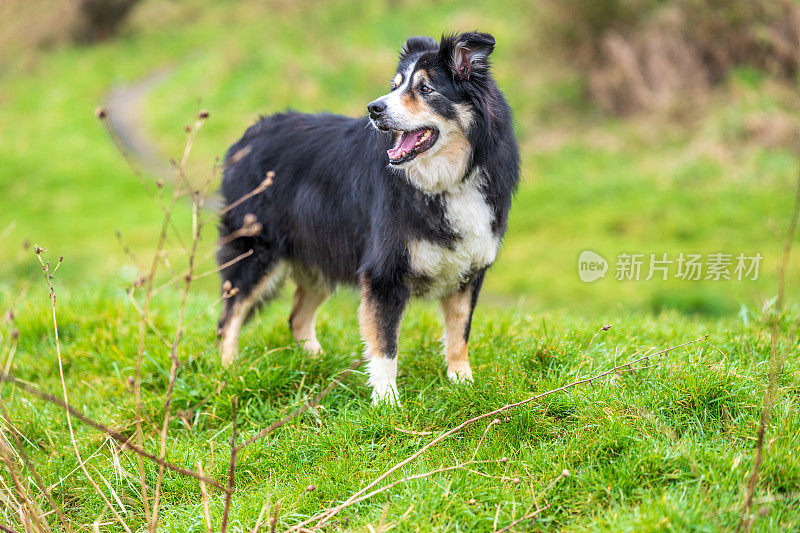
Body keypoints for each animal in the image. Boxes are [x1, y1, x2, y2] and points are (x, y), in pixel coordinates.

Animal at [217, 31, 520, 402]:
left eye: (426, 88)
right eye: (396, 85)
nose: (374, 109)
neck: (447, 179)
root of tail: (247, 136)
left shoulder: (469, 270)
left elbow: (459, 334)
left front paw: (463, 384)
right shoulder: (383, 273)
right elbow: (385, 345)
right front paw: (387, 401)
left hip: (322, 253)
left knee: (297, 317)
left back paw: (316, 365)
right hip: (256, 251)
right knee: (229, 318)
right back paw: (230, 373)